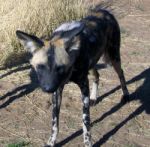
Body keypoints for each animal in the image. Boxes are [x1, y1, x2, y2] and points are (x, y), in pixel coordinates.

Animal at [16, 6, 129, 147]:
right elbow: (55, 123)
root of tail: (104, 11)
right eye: (41, 67)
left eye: (60, 68)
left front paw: (87, 142)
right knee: (97, 75)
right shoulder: (57, 90)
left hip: (114, 57)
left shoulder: (83, 87)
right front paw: (51, 141)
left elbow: (85, 121)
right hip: (92, 65)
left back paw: (125, 95)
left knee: (121, 73)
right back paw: (94, 98)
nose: (48, 89)